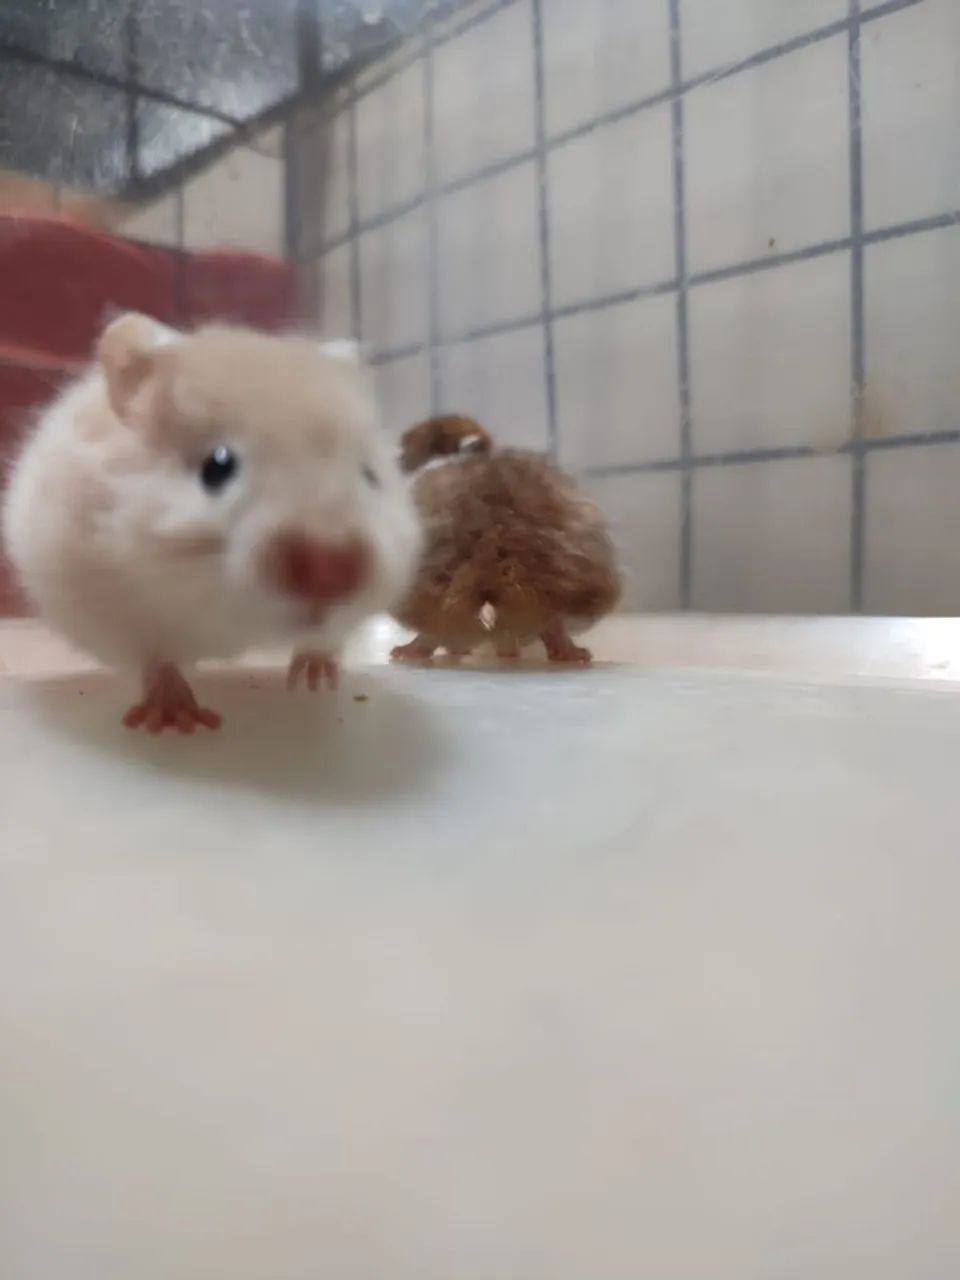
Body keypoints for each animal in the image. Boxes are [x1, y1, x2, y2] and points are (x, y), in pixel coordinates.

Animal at [2, 314, 420, 731]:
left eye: (370, 475)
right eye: (217, 466)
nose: (332, 571)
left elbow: (325, 639)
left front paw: (315, 683)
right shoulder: (112, 609)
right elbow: (156, 657)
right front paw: (176, 721)